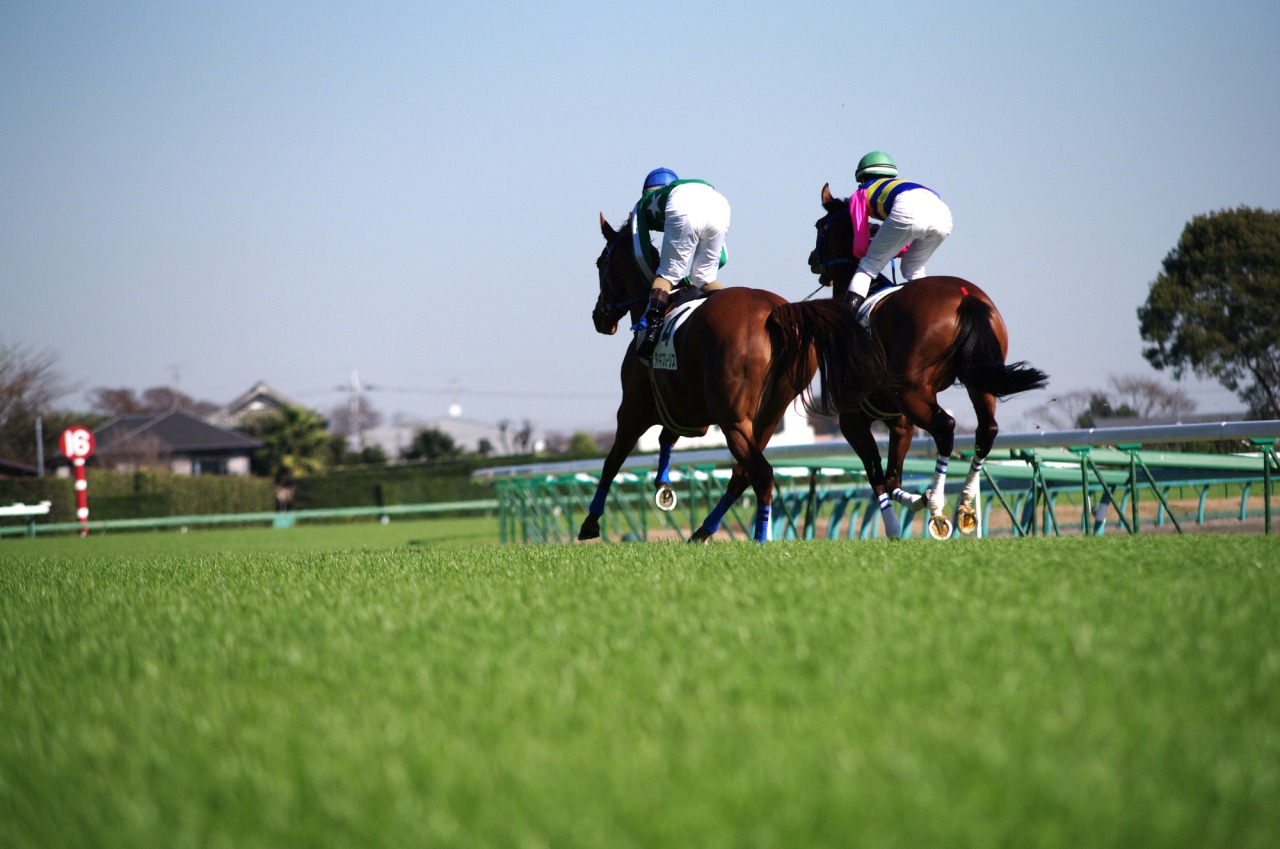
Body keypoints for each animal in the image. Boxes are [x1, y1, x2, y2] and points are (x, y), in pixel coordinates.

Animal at [581, 211, 884, 543]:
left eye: (600, 263)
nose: (599, 316)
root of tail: (776, 312)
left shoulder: (633, 410)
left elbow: (612, 462)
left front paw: (591, 522)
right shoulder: (688, 414)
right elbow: (666, 438)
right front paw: (663, 486)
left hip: (733, 419)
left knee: (760, 473)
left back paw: (758, 536)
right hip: (768, 415)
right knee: (743, 474)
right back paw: (704, 531)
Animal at [800, 183, 1049, 539]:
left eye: (820, 226)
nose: (812, 259)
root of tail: (966, 297)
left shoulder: (853, 419)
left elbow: (878, 478)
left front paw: (897, 523)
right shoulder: (900, 421)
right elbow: (891, 478)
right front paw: (916, 499)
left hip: (913, 391)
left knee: (945, 427)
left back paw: (937, 509)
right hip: (977, 380)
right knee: (986, 431)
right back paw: (963, 505)